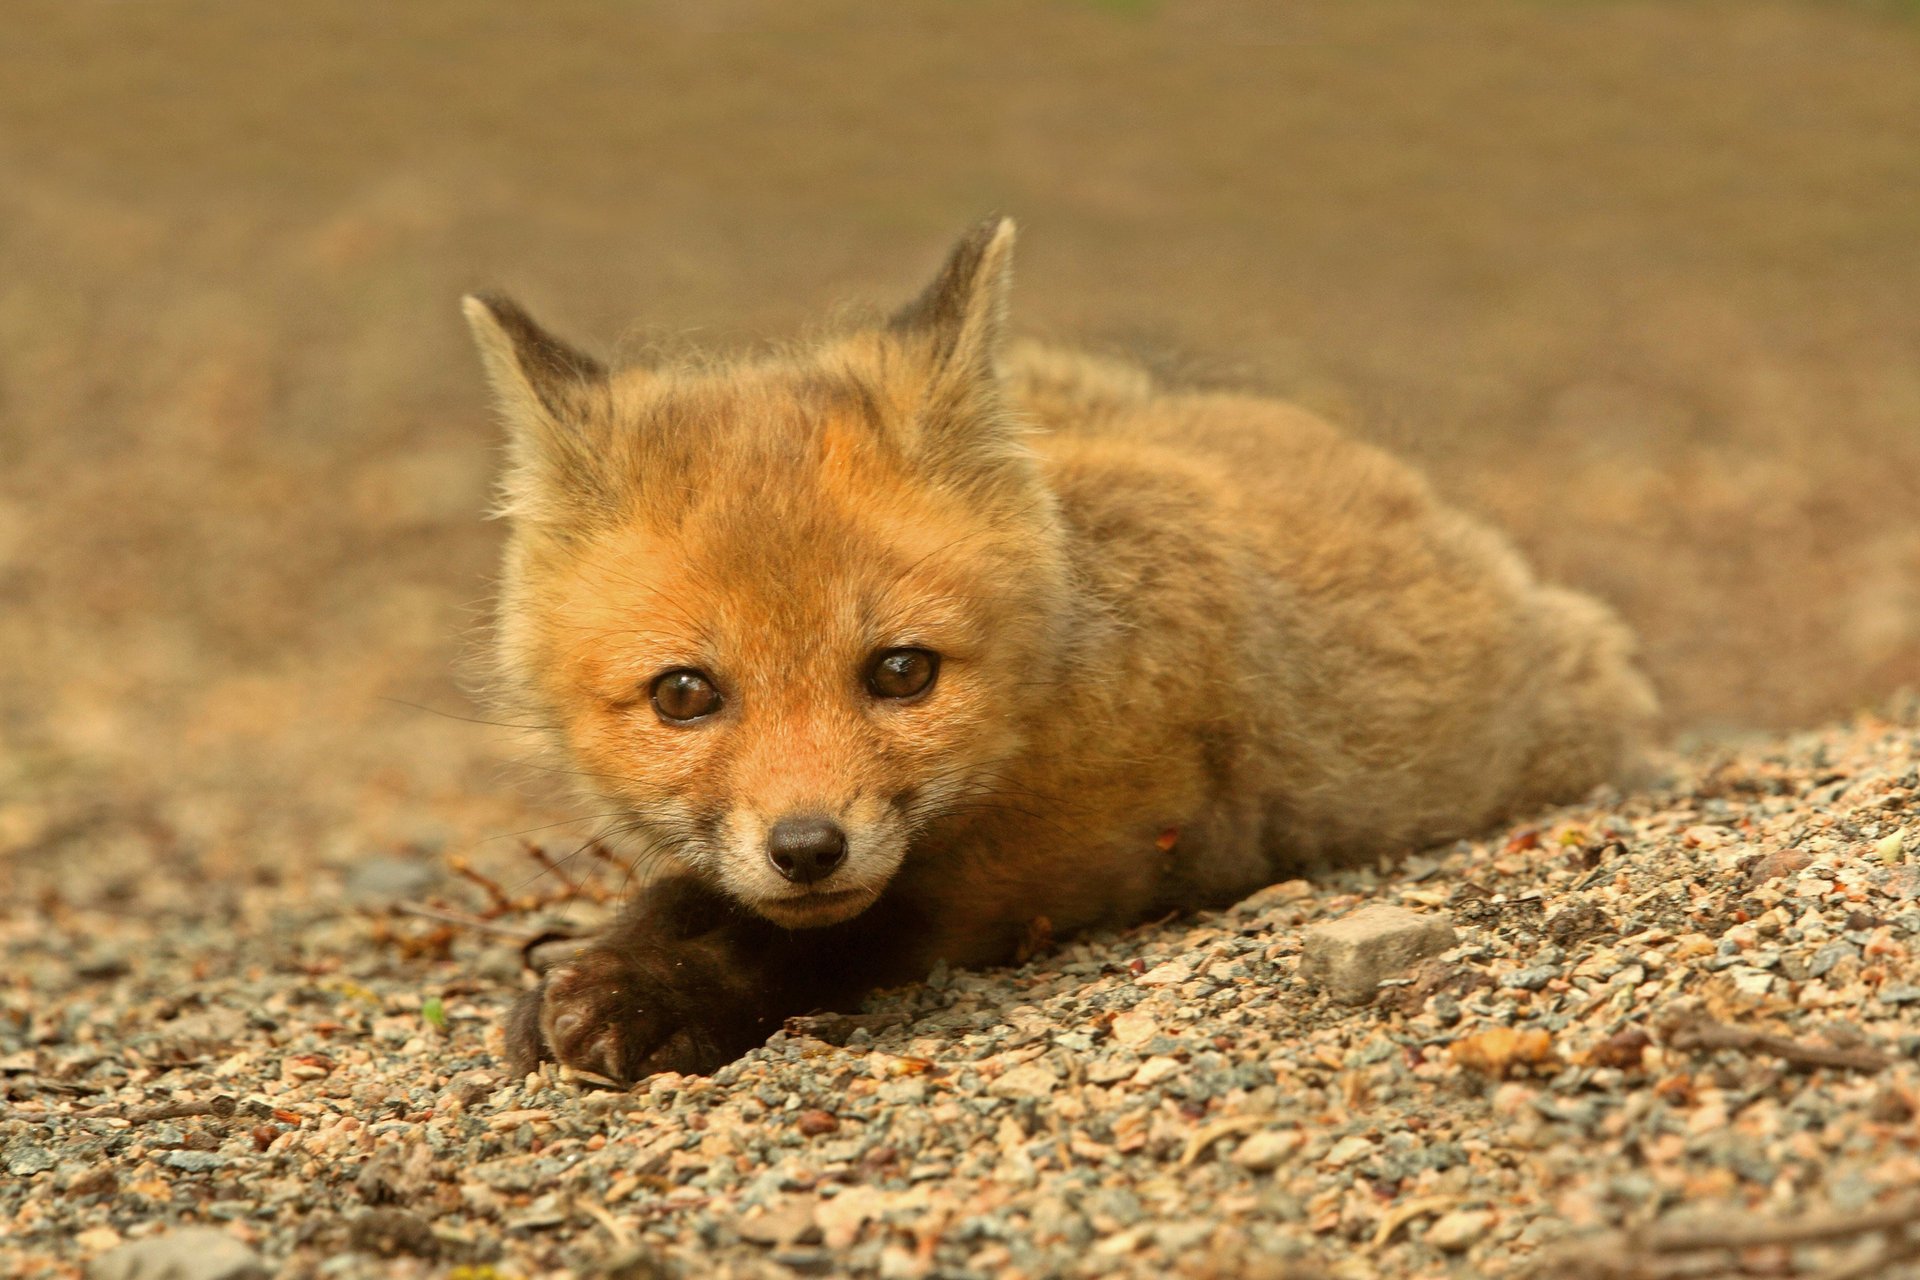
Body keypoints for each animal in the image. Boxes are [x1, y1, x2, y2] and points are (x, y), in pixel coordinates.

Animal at [464, 217, 1666, 1082]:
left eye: (902, 671)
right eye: (685, 694)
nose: (808, 847)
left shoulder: (1095, 841)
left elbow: (840, 931)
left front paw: (655, 990)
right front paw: (610, 956)